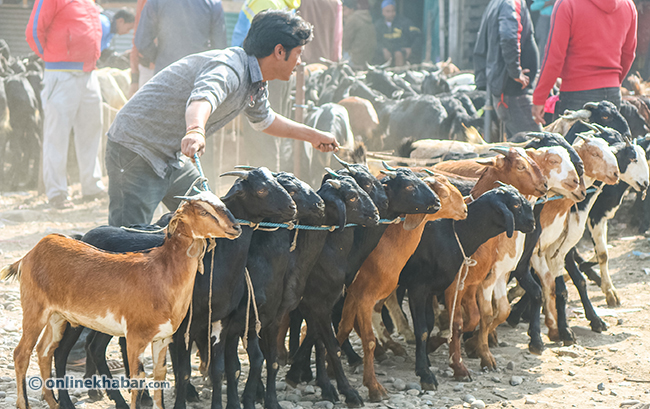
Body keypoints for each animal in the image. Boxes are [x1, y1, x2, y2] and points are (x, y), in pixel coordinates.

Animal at [1, 191, 239, 408]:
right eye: (203, 211)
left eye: (224, 206)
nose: (236, 227)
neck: (161, 273)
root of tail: (32, 252)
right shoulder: (135, 337)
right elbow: (137, 380)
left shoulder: (163, 338)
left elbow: (160, 376)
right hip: (35, 309)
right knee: (22, 353)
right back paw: (26, 403)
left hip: (57, 317)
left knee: (44, 351)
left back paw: (55, 403)